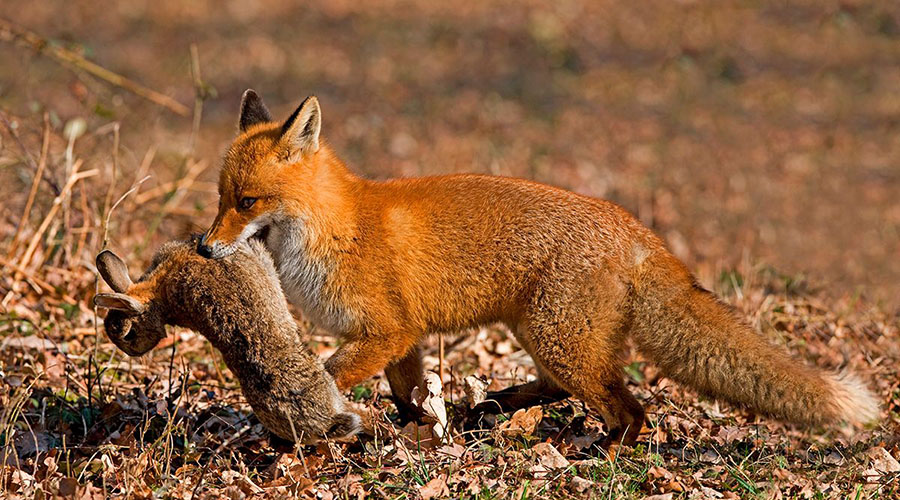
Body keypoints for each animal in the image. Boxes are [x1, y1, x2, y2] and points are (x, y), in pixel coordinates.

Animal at [196, 89, 879, 446]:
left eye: (247, 203)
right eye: (220, 199)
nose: (203, 248)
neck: (335, 228)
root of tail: (635, 228)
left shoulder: (387, 329)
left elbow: (327, 372)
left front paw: (295, 413)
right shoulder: (403, 338)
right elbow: (409, 394)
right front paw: (417, 433)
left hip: (559, 338)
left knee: (628, 409)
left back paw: (605, 450)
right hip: (542, 332)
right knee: (559, 387)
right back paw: (494, 408)